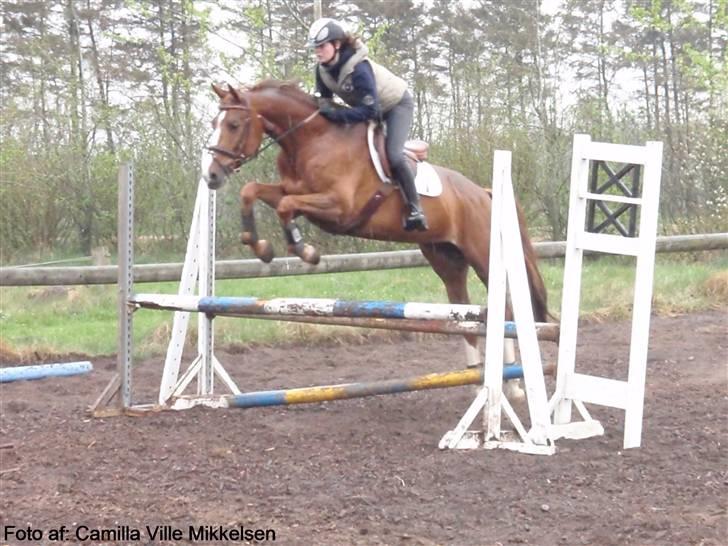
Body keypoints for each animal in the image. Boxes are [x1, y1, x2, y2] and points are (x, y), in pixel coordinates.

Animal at [202, 78, 548, 364]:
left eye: (233, 124)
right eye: (214, 122)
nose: (212, 176)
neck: (311, 140)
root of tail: (483, 193)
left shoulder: (339, 208)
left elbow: (286, 207)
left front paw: (305, 251)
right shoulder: (295, 194)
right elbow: (252, 191)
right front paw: (259, 245)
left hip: (483, 255)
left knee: (504, 308)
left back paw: (511, 381)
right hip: (446, 258)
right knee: (464, 309)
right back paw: (479, 372)